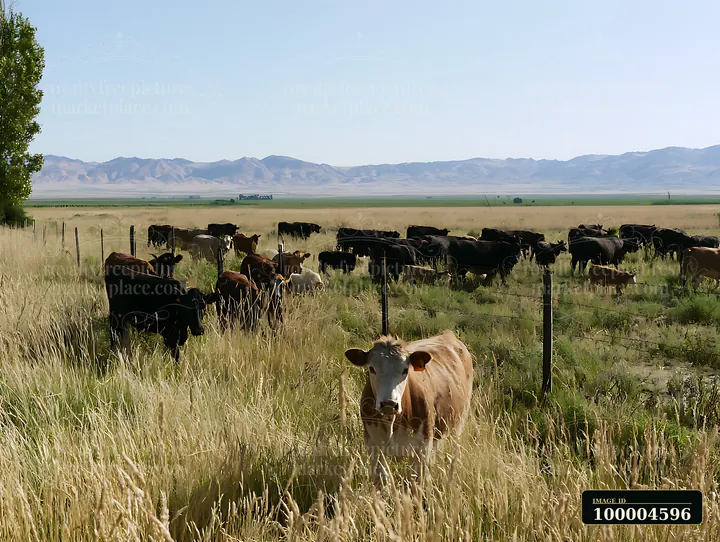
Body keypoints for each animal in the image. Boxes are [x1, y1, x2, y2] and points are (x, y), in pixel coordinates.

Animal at [345, 329, 473, 486]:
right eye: (372, 368)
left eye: (405, 370)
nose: (389, 403)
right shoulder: (373, 446)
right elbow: (381, 478)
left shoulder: (423, 447)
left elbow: (417, 479)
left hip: (459, 421)